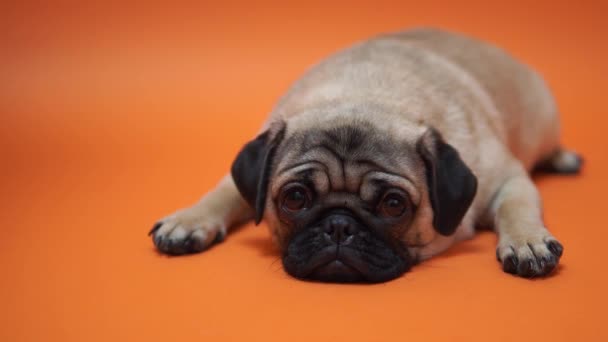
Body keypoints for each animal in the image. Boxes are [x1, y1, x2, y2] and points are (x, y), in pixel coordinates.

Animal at [150, 28, 580, 282]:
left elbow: (516, 207)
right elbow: (222, 192)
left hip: (544, 118)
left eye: (393, 205)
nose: (340, 225)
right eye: (295, 198)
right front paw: (188, 221)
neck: (364, 96)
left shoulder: (507, 178)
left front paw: (527, 241)